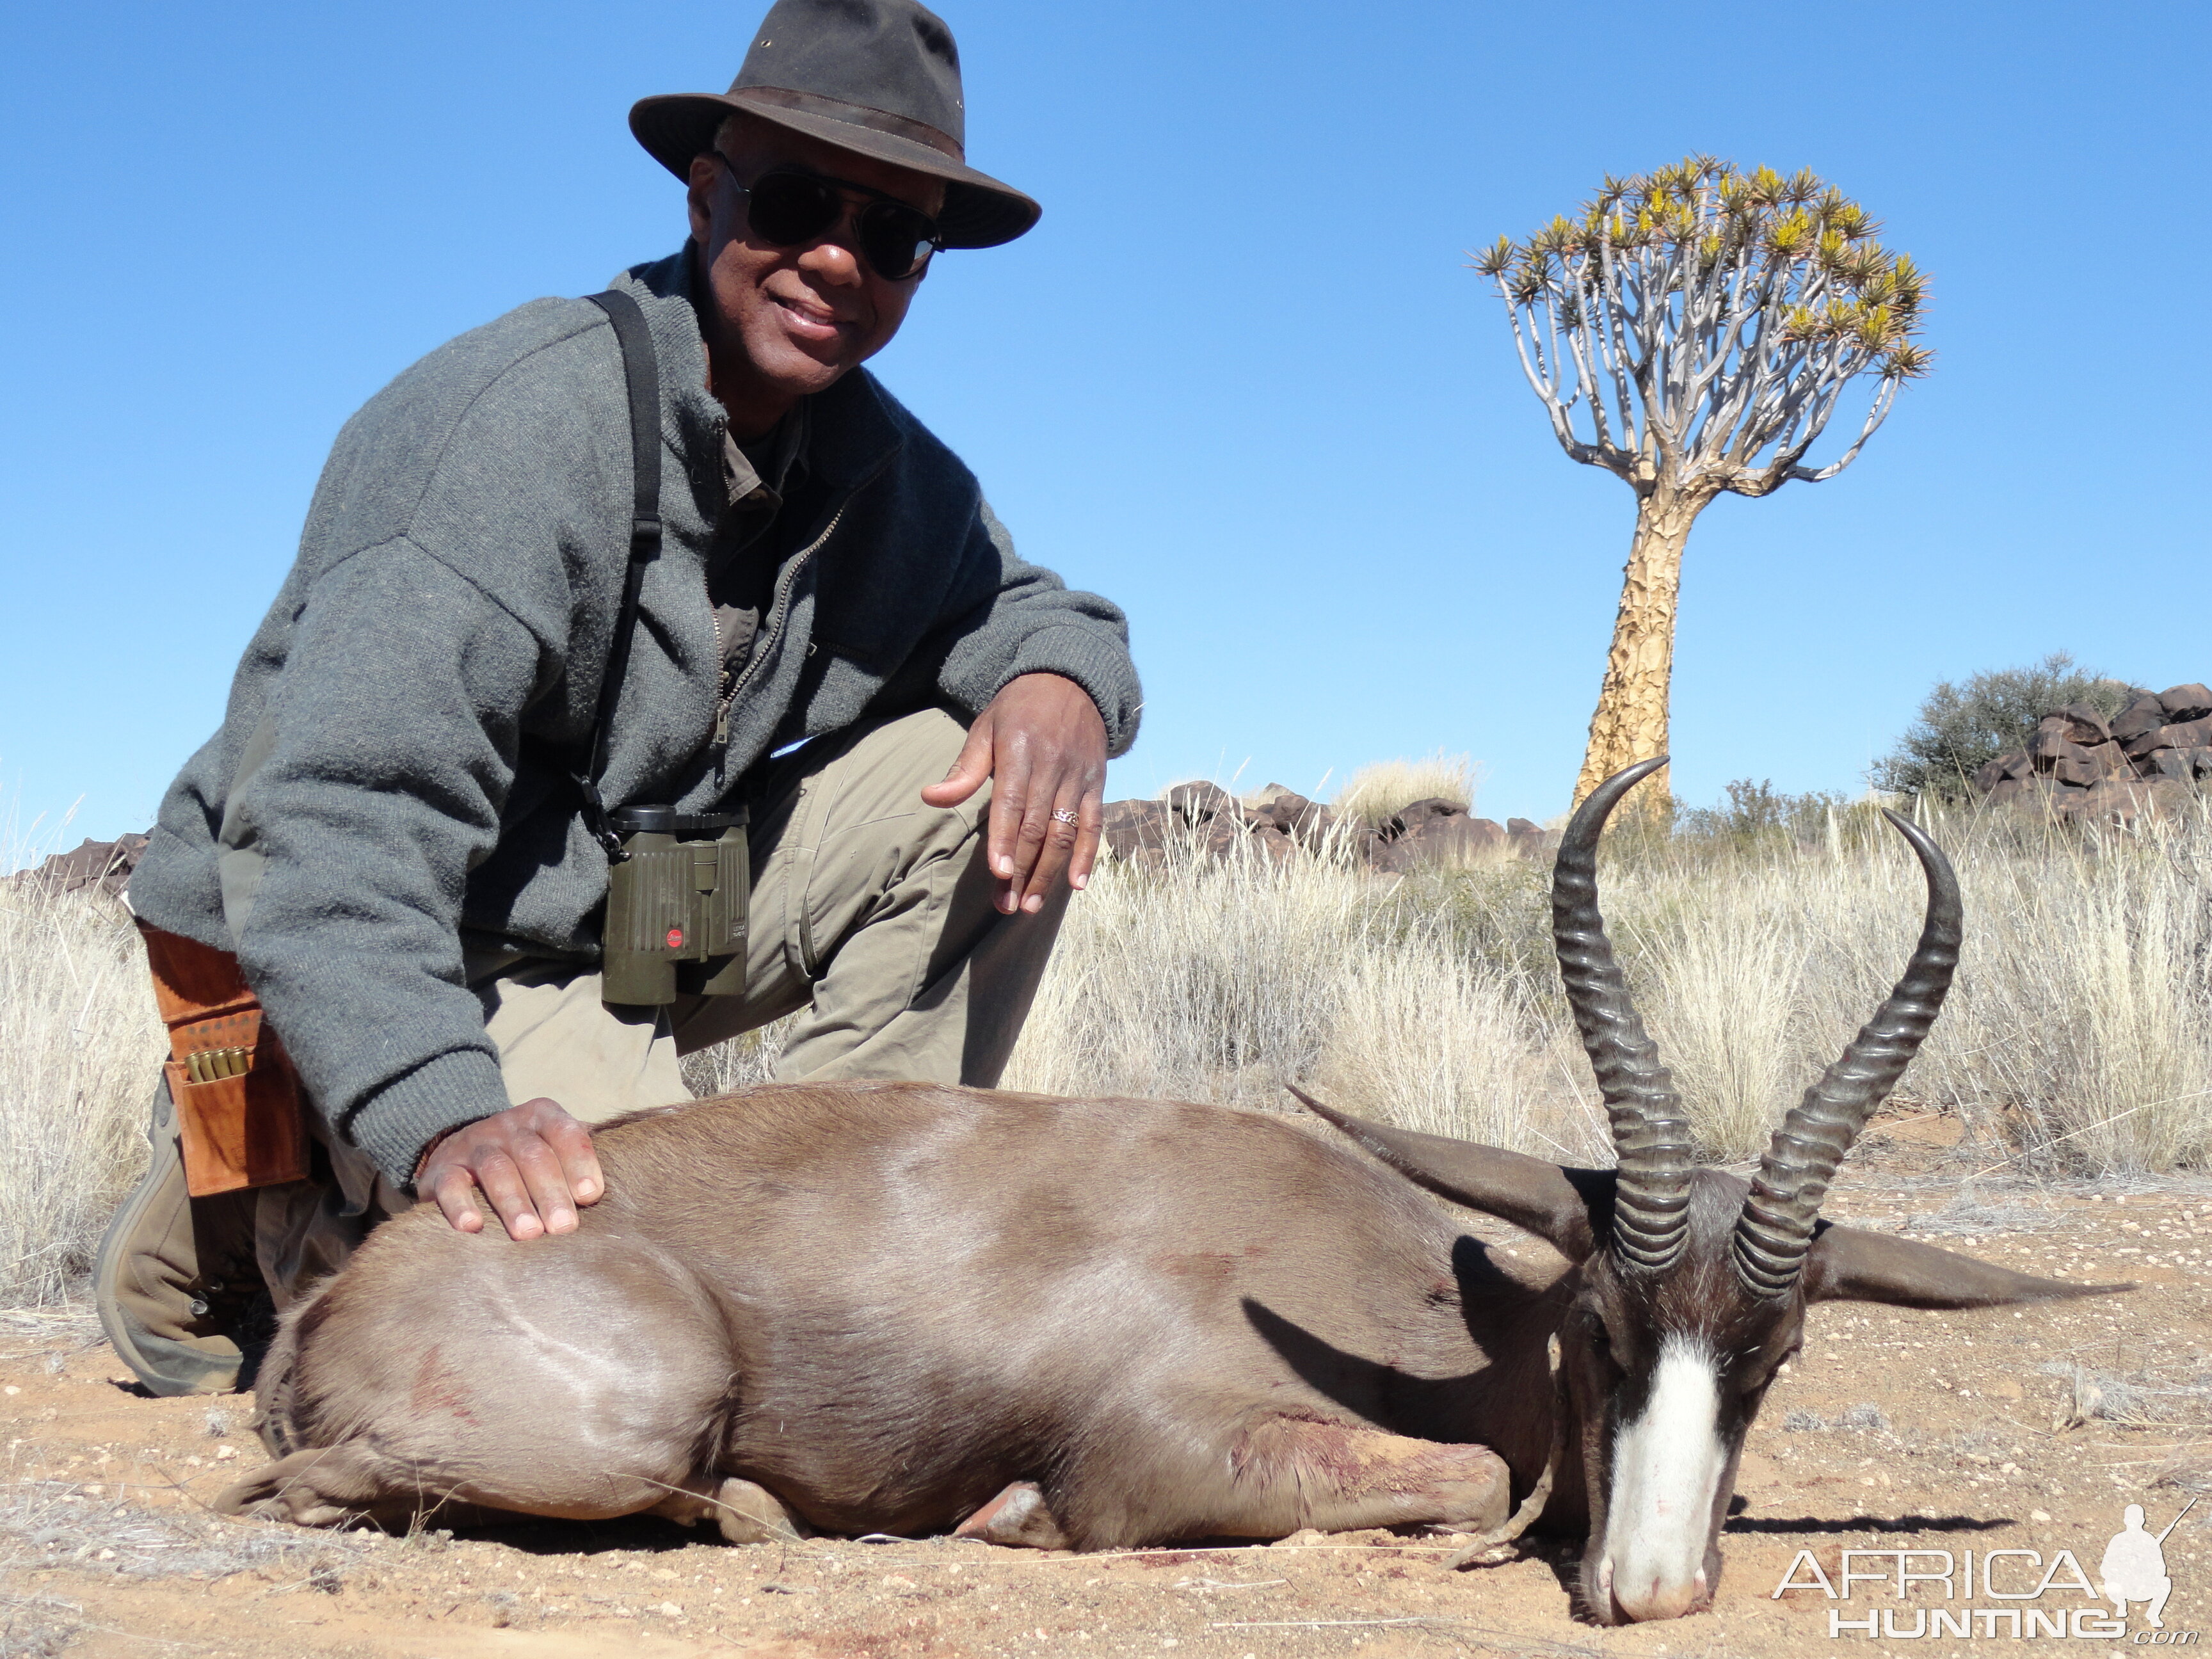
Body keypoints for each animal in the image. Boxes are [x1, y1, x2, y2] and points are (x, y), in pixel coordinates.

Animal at [215, 765, 2114, 1628]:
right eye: (1601, 1319)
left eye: (1775, 1354)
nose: (1649, 1588)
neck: (1433, 1303)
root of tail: (346, 1290)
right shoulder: (1155, 1452)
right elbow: (1457, 1489)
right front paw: (1008, 1522)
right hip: (653, 1395)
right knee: (313, 1489)